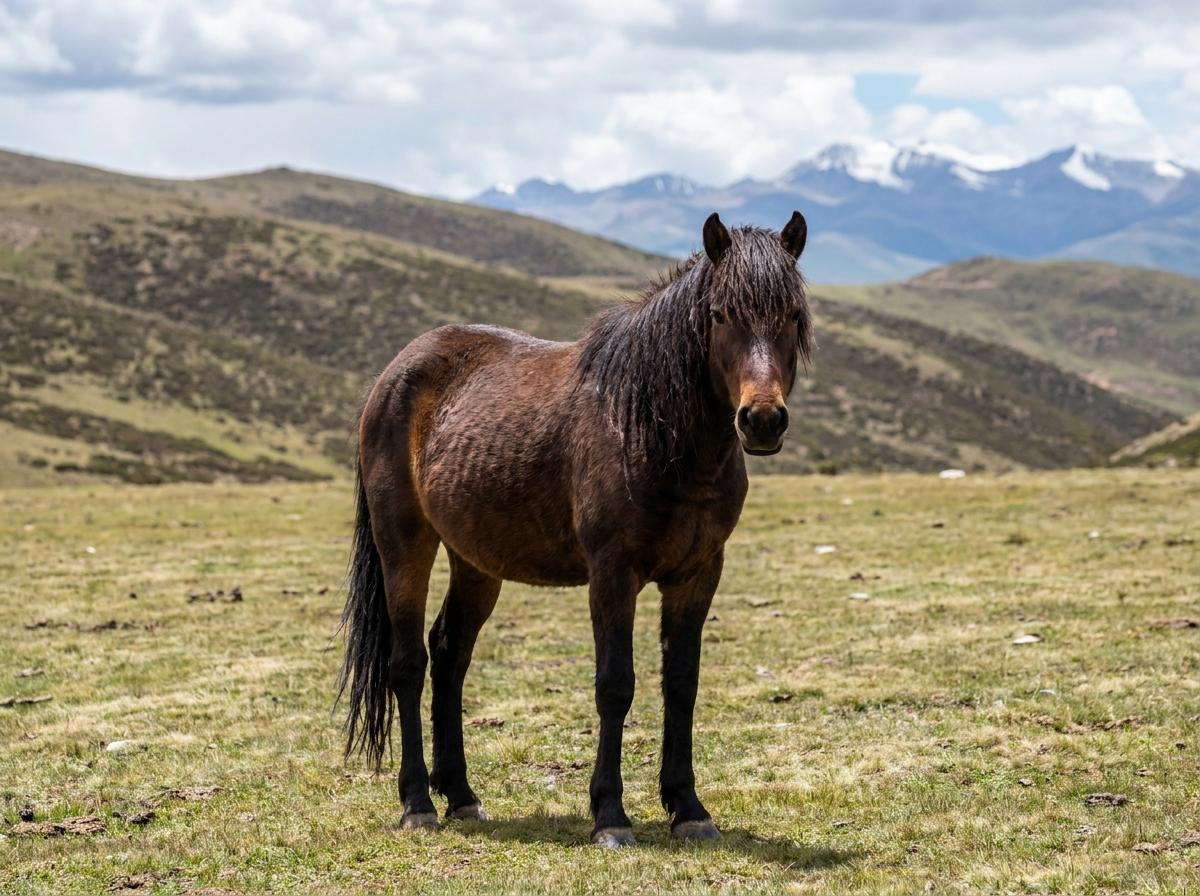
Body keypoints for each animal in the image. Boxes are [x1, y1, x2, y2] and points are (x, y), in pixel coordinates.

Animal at [337, 210, 813, 847]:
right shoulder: (612, 573)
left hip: (476, 562)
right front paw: (609, 814)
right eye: (720, 315)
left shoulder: (697, 574)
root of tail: (392, 376)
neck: (652, 429)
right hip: (404, 543)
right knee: (408, 663)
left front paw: (688, 809)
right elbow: (615, 685)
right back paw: (418, 803)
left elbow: (681, 684)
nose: (761, 420)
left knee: (450, 653)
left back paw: (461, 795)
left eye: (792, 315)